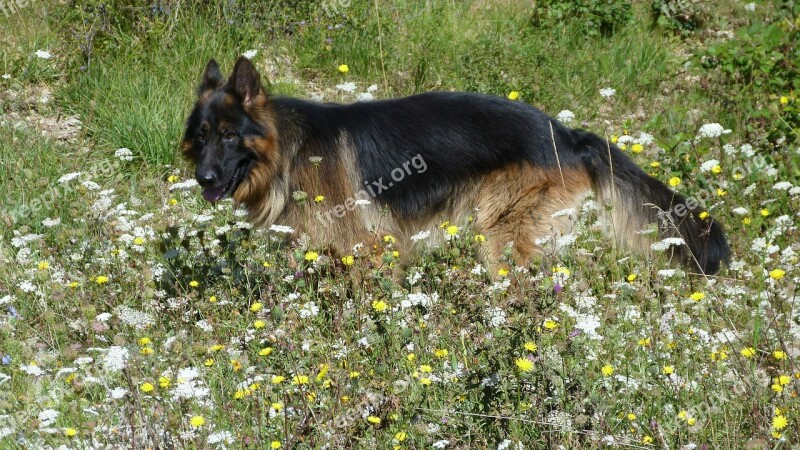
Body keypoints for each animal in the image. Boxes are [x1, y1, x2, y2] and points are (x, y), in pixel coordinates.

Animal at [183, 56, 732, 274]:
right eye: (203, 136)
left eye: (230, 136)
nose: (203, 179)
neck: (291, 151)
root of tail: (569, 135)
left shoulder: (368, 249)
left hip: (502, 235)